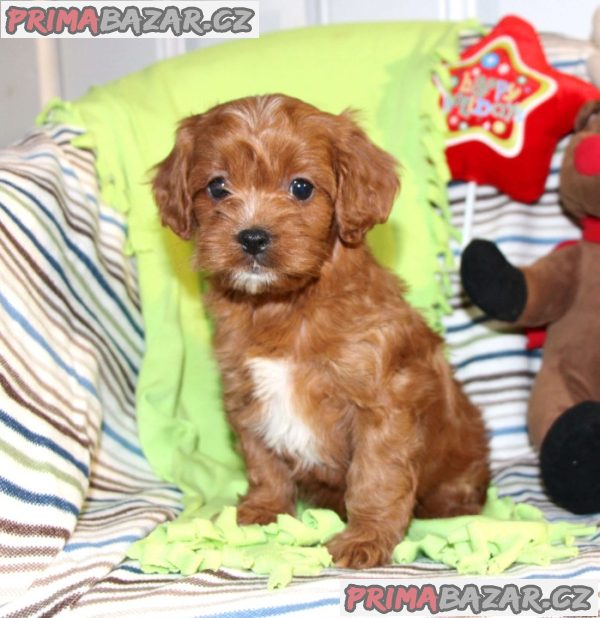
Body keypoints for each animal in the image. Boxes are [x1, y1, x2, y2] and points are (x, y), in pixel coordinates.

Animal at [152, 92, 490, 568]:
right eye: (218, 187)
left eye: (301, 187)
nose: (252, 237)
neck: (282, 306)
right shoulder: (246, 395)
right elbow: (263, 461)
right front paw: (262, 511)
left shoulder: (383, 403)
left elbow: (374, 477)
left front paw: (365, 538)